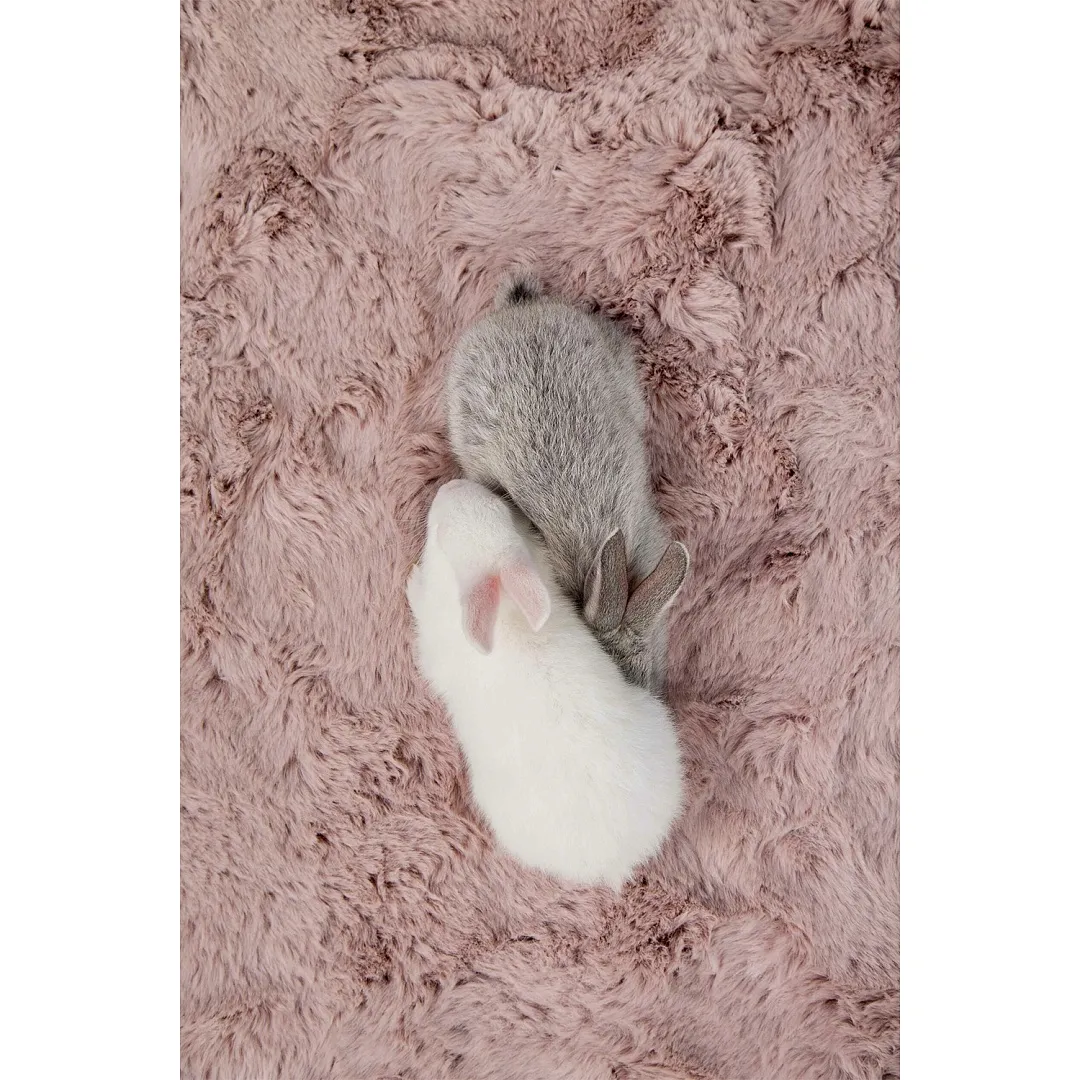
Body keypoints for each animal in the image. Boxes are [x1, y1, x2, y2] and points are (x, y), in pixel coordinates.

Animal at [405, 478, 684, 889]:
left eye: (441, 534)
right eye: (504, 511)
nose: (452, 484)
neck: (503, 598)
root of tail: (617, 863)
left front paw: (412, 581)